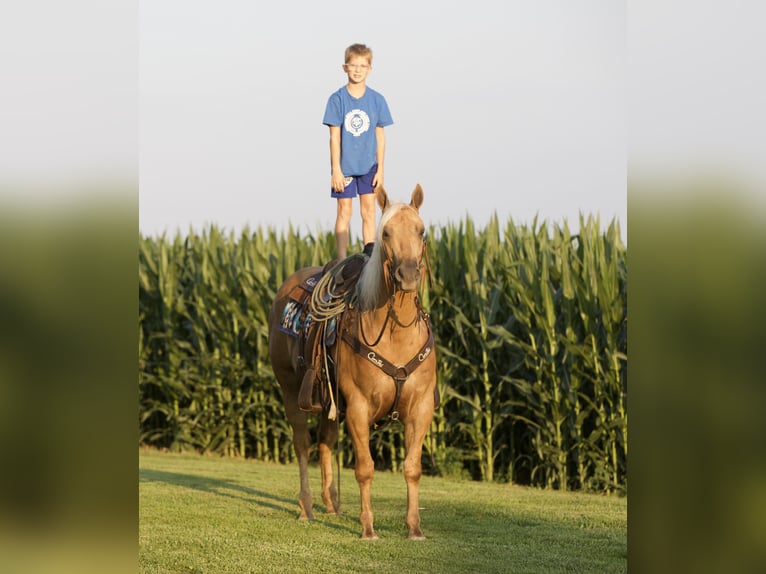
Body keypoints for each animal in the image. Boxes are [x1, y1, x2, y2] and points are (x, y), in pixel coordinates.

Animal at [268, 187, 438, 544]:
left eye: (421, 231)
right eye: (386, 233)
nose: (407, 274)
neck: (396, 332)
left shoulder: (421, 407)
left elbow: (412, 468)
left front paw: (414, 528)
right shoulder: (359, 407)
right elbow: (365, 468)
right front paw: (368, 528)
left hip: (329, 399)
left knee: (325, 440)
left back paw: (332, 503)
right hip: (291, 391)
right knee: (303, 443)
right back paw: (307, 507)